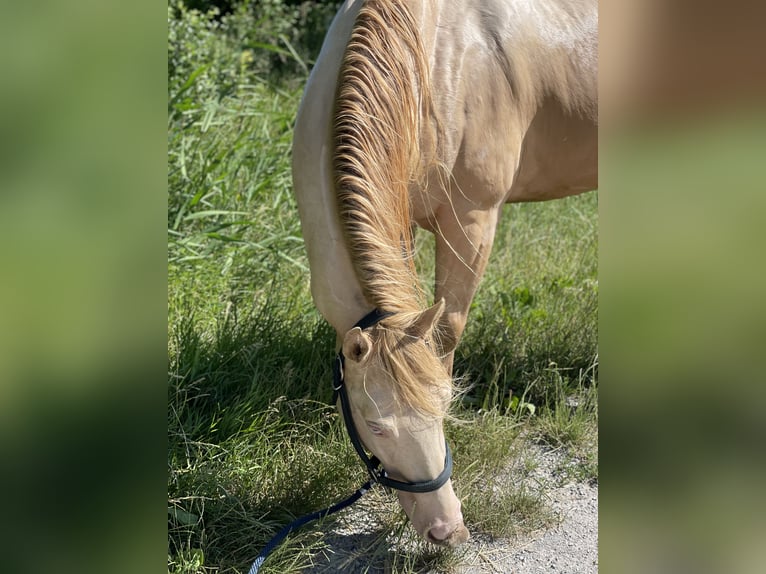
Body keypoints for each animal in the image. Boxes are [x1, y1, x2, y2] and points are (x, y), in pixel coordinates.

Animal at [292, 0, 596, 548]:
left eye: (444, 405)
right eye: (376, 425)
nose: (447, 529)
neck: (430, 65)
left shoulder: (472, 221)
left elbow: (447, 331)